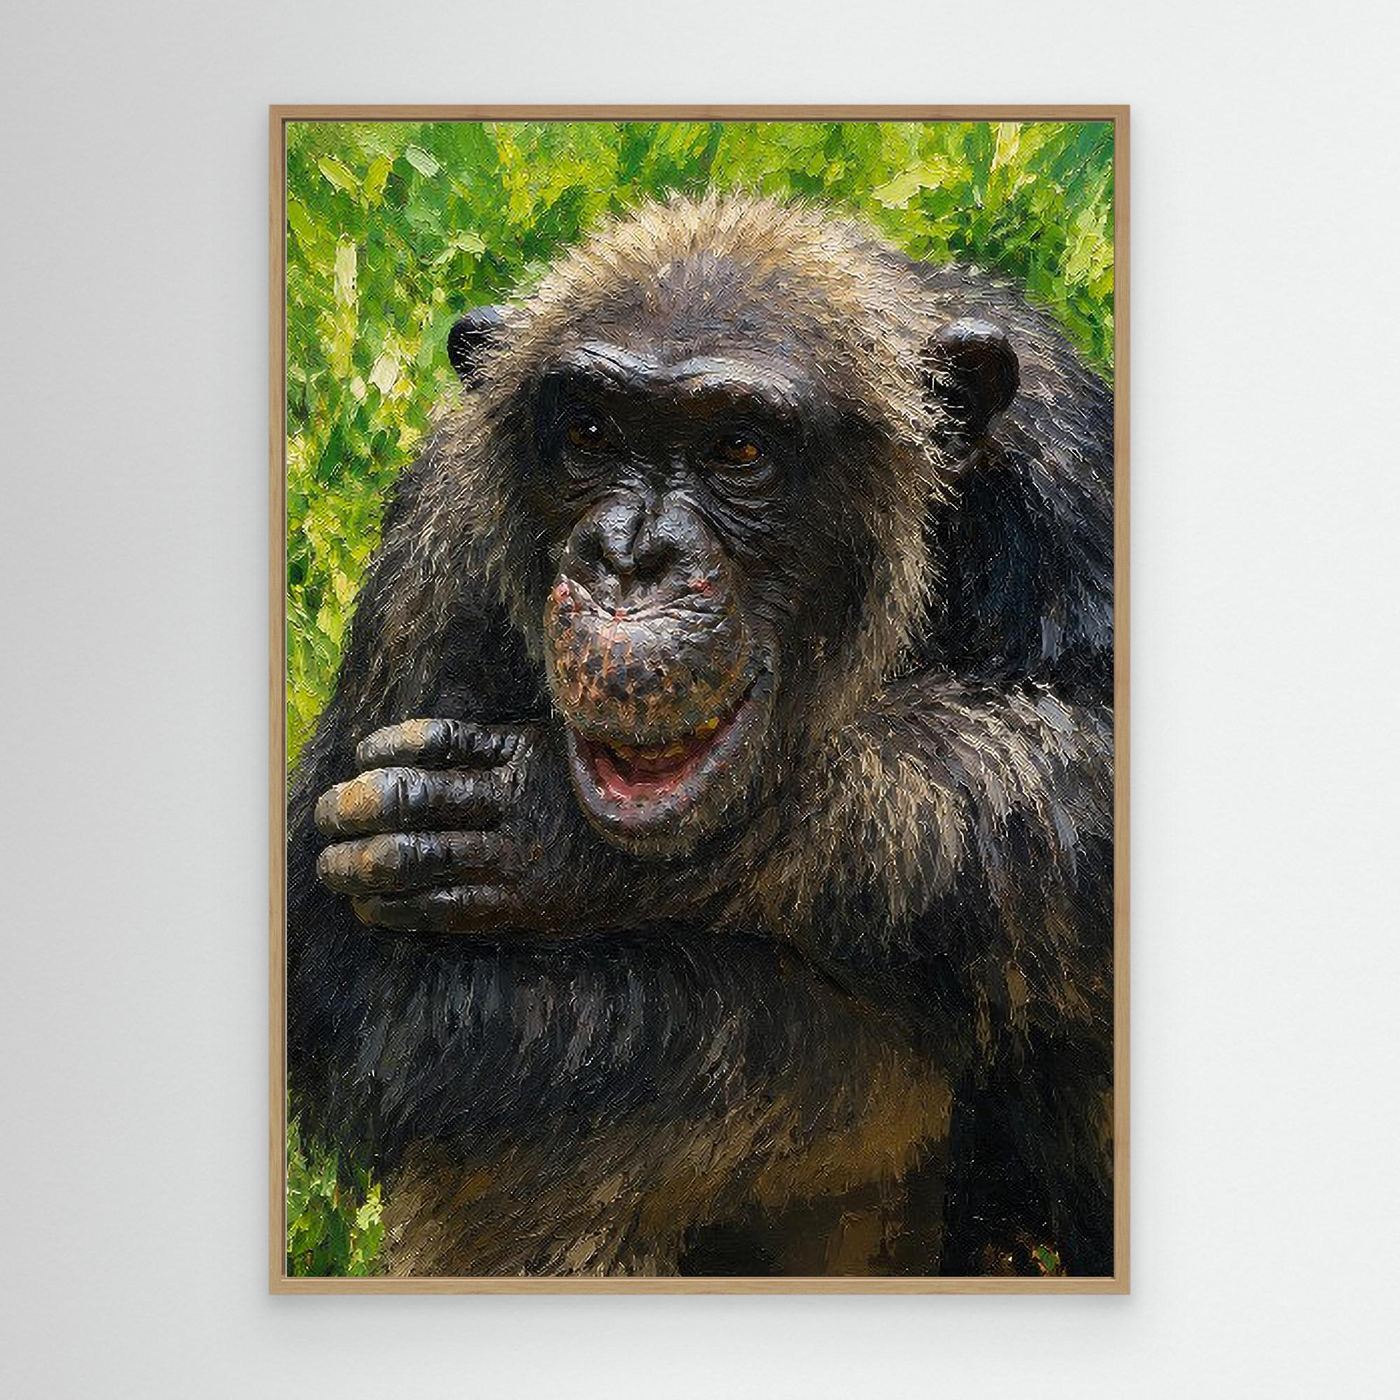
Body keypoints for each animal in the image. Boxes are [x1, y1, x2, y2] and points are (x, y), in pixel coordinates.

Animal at [286, 193, 1115, 1277]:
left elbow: (1090, 770)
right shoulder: (435, 547)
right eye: (589, 435)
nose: (631, 555)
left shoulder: (1069, 465)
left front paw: (545, 828)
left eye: (739, 452)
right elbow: (371, 983)